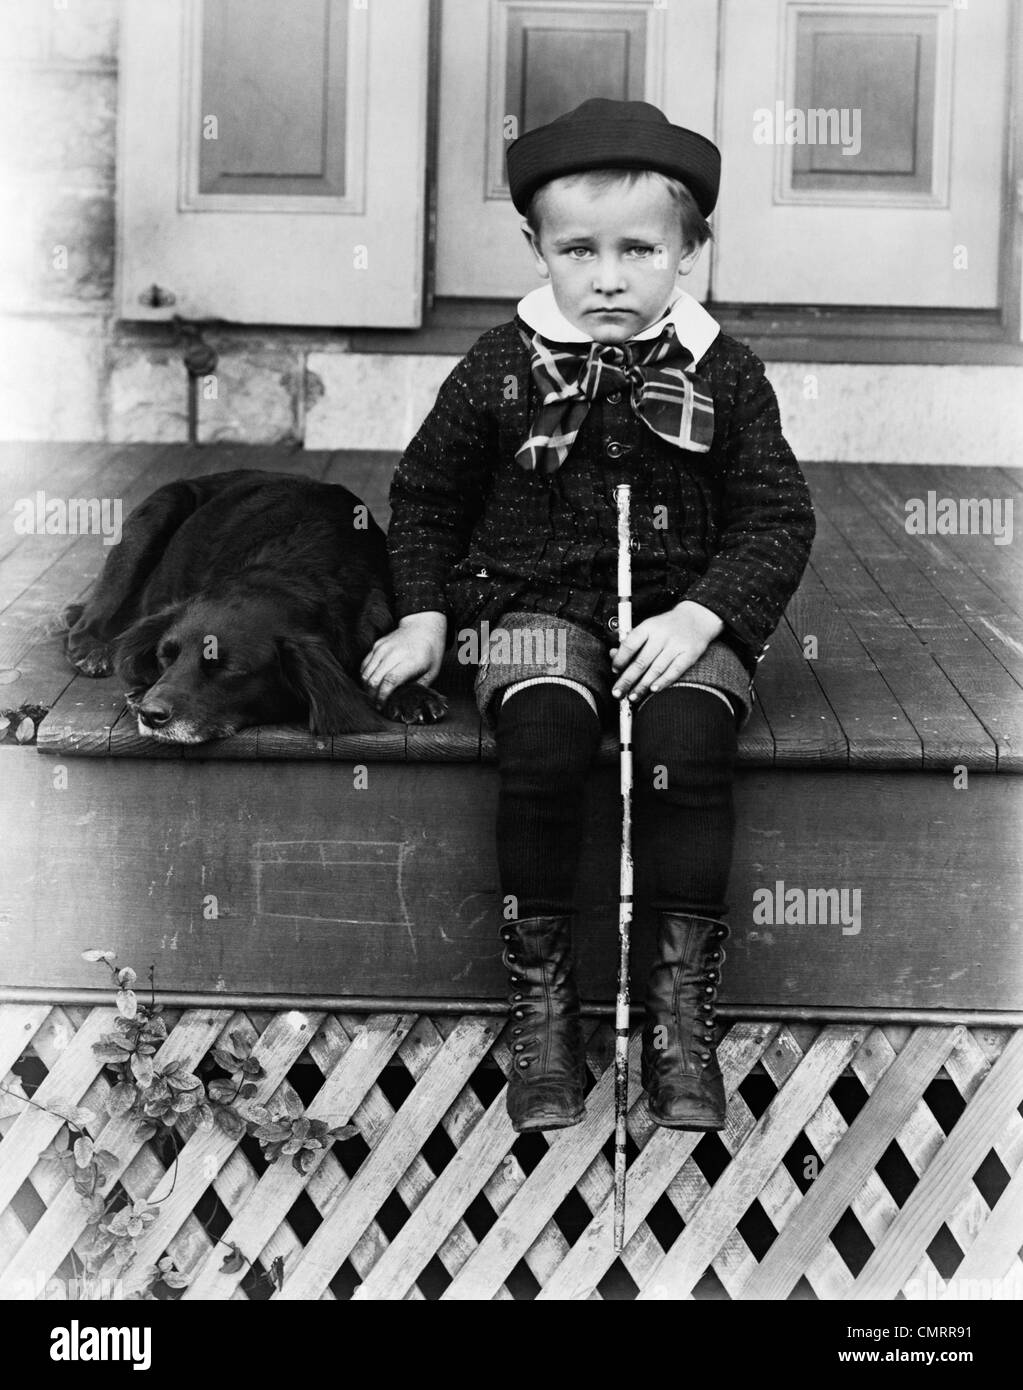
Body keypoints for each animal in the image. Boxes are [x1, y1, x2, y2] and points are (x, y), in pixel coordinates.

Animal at [62, 469, 447, 750]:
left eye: (229, 668)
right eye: (164, 656)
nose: (150, 714)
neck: (293, 569)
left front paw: (411, 692)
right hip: (158, 512)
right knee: (90, 618)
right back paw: (91, 647)